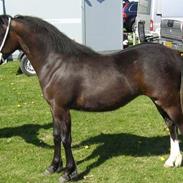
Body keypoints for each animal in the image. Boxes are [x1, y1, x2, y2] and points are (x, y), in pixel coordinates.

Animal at [0, 15, 183, 182]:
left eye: (1, 31)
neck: (56, 64)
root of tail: (174, 54)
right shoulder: (53, 108)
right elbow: (56, 135)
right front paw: (53, 167)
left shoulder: (62, 109)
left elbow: (66, 139)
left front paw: (69, 172)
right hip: (159, 101)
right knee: (171, 126)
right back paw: (171, 161)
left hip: (169, 101)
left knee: (178, 125)